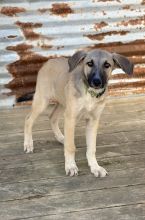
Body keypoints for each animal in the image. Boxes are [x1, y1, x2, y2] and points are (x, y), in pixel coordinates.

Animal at [24, 49, 134, 177]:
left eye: (107, 65)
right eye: (89, 63)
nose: (97, 82)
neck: (90, 94)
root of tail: (49, 61)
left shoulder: (93, 121)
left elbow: (91, 148)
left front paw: (95, 167)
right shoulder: (71, 118)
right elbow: (71, 147)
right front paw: (71, 166)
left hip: (63, 103)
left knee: (52, 117)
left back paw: (61, 137)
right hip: (43, 101)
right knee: (28, 120)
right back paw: (28, 144)